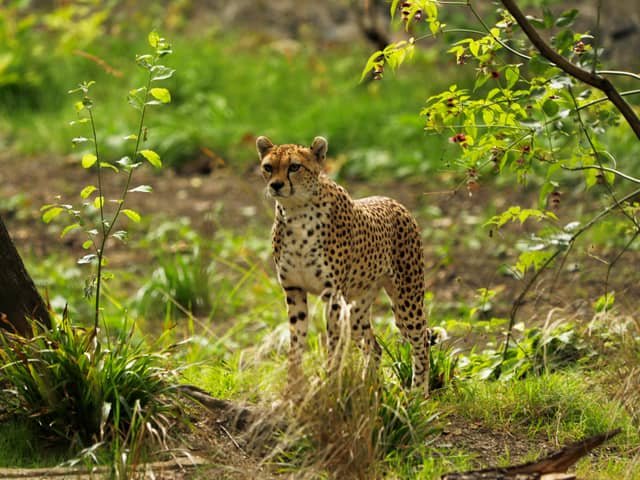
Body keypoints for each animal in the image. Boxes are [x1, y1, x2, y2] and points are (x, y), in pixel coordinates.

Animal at [257, 135, 430, 396]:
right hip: (358, 310)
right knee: (374, 346)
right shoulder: (294, 290)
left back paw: (419, 393)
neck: (297, 211)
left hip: (407, 300)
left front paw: (329, 385)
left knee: (422, 341)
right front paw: (292, 389)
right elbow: (296, 343)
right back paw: (370, 388)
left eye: (294, 167)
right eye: (268, 167)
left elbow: (334, 345)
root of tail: (393, 201)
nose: (276, 185)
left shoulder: (333, 296)